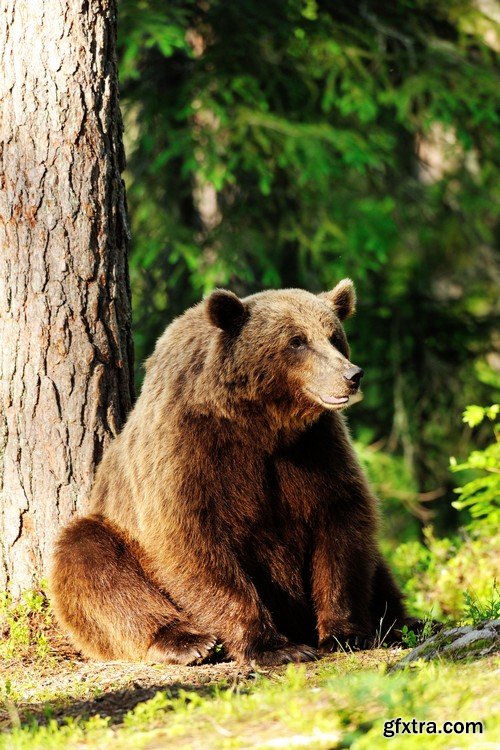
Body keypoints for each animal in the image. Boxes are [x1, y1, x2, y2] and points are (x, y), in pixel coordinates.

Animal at [50, 279, 410, 666]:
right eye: (296, 341)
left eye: (334, 336)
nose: (351, 375)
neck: (261, 422)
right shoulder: (191, 451)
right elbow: (194, 542)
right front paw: (275, 647)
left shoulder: (313, 450)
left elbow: (341, 521)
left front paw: (344, 633)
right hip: (113, 532)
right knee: (90, 558)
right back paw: (187, 641)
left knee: (380, 571)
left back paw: (401, 623)